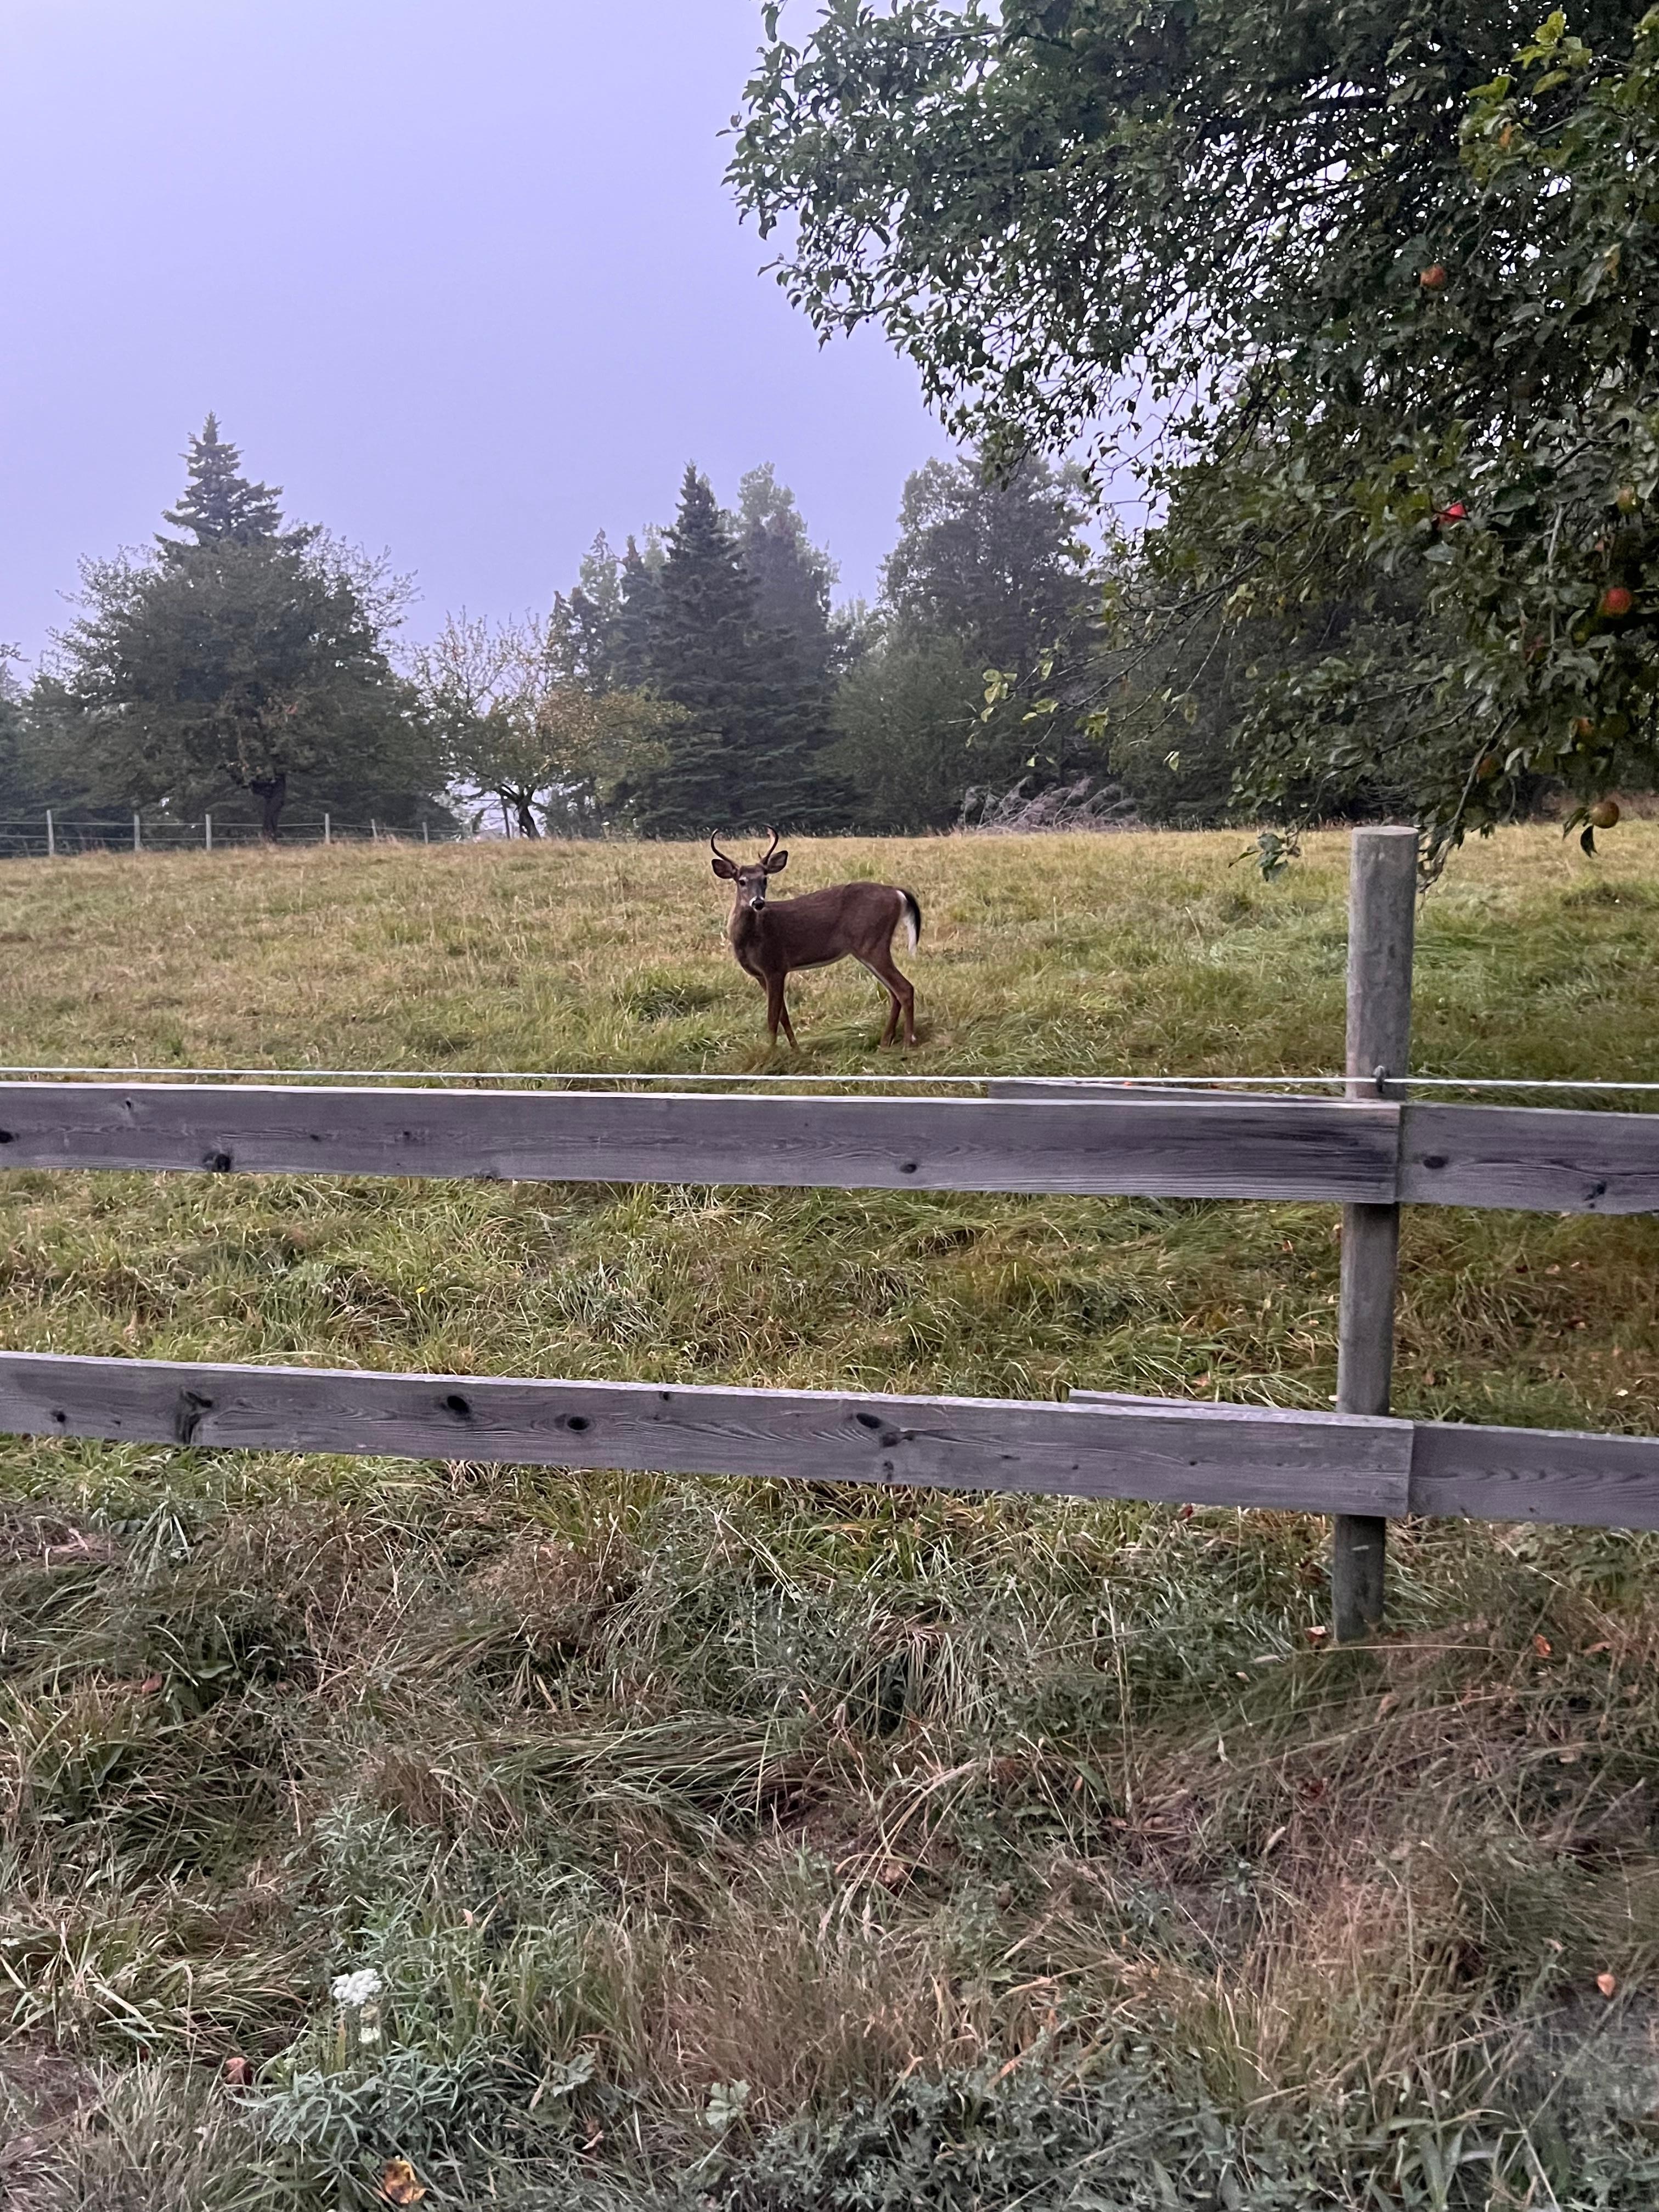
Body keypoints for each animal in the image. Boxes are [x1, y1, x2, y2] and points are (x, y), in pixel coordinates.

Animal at [710, 830, 922, 1048]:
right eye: (742, 881)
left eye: (765, 879)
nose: (758, 903)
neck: (750, 940)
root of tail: (897, 893)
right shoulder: (760, 975)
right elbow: (783, 1015)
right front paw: (796, 1050)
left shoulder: (775, 966)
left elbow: (772, 1018)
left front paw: (772, 1052)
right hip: (868, 947)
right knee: (894, 992)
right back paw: (886, 1041)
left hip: (872, 943)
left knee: (904, 988)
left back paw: (908, 1041)